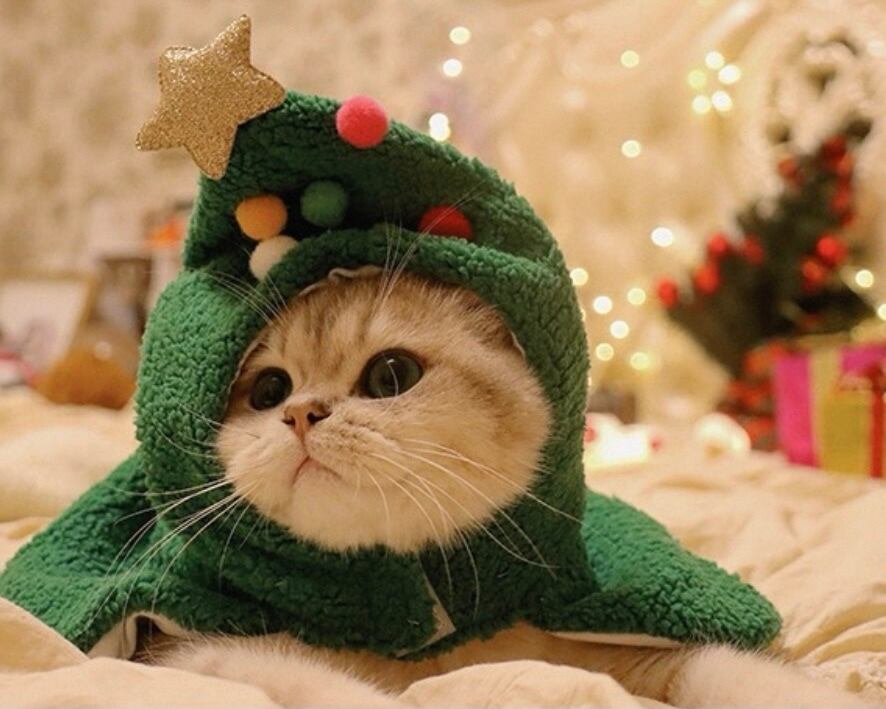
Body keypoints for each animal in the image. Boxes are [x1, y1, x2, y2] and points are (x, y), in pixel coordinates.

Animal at [146, 270, 865, 708]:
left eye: (390, 375)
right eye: (269, 390)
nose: (299, 415)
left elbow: (725, 667)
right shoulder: (192, 653)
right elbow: (308, 682)